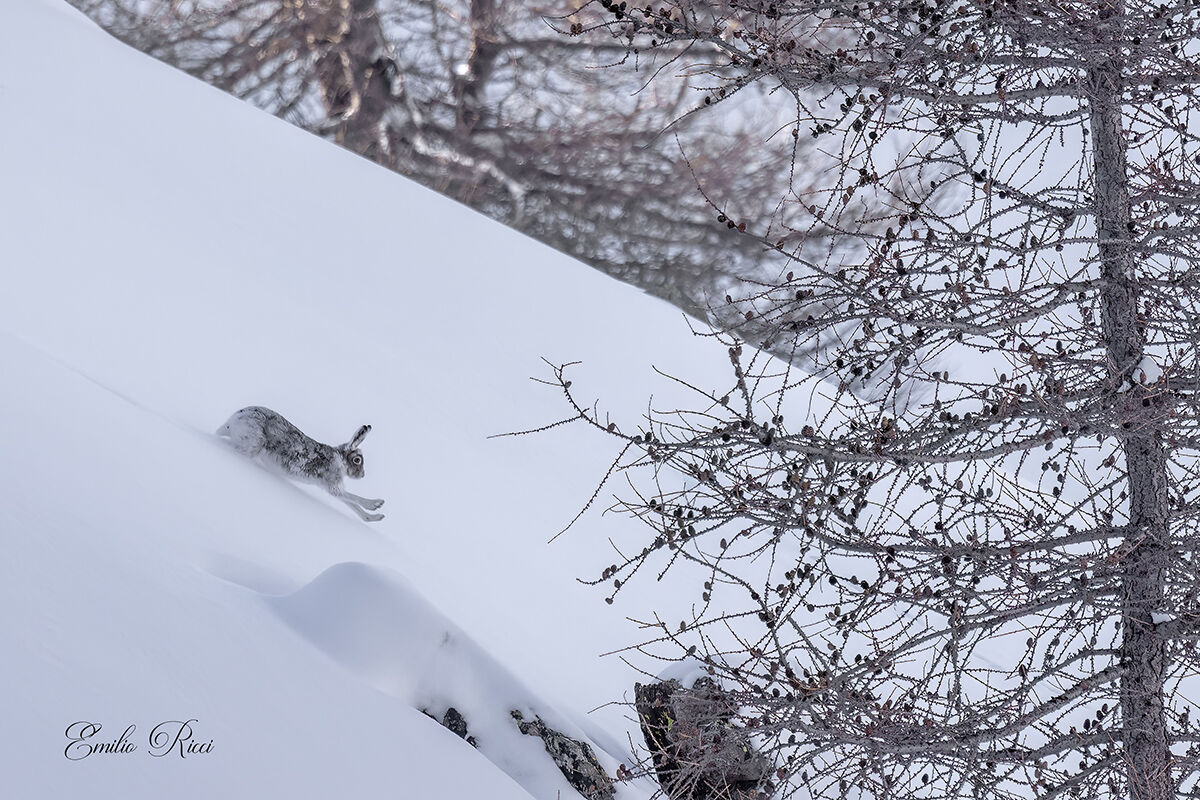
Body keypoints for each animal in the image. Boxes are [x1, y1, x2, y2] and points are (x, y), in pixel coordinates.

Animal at [217, 406, 385, 522]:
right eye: (357, 460)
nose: (362, 475)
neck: (339, 459)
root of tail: (235, 419)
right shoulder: (332, 485)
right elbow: (353, 497)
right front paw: (377, 504)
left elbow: (353, 505)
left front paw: (375, 517)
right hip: (254, 443)